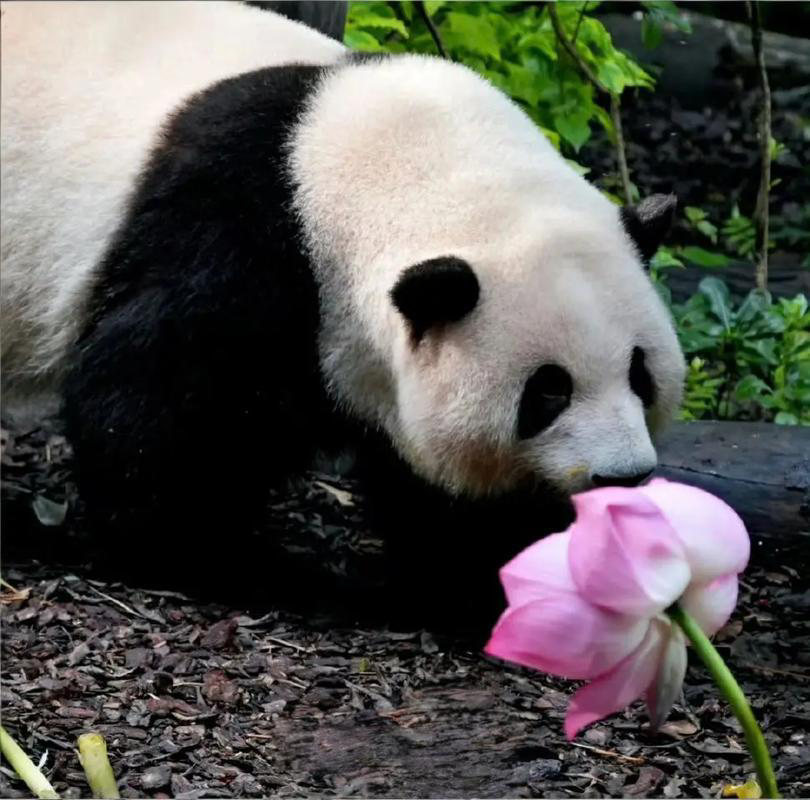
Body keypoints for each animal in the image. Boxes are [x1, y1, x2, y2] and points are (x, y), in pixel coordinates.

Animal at [1, 2, 685, 615]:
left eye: (639, 373)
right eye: (548, 391)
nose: (623, 475)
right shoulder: (236, 234)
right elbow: (151, 401)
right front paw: (218, 559)